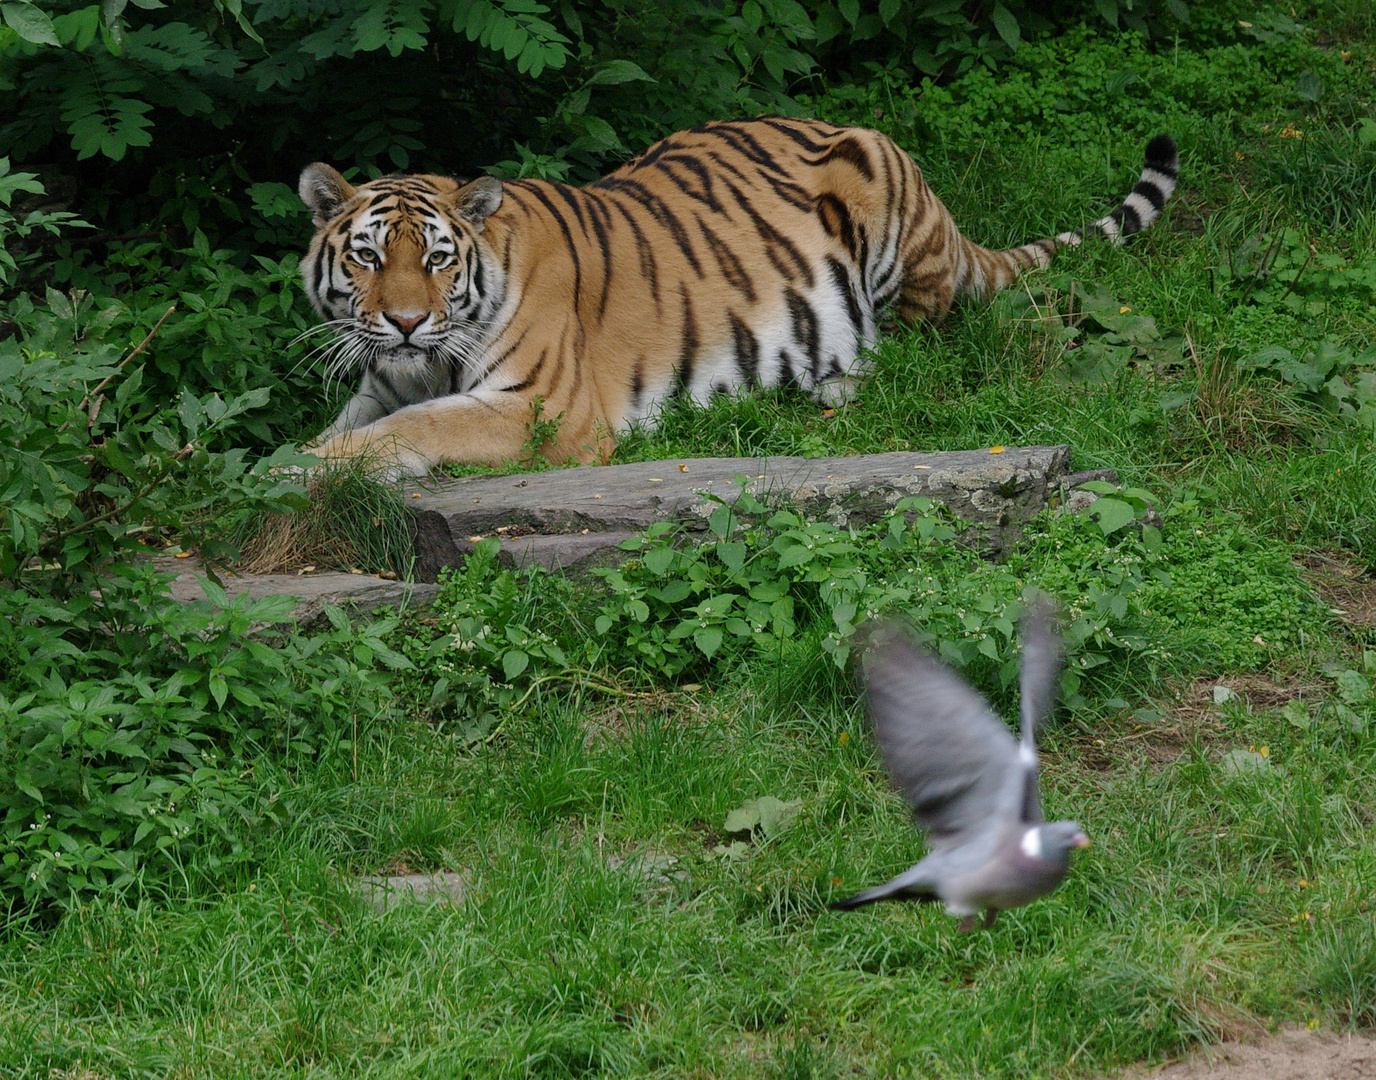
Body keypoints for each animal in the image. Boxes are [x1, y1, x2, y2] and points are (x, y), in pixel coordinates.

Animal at [295, 113, 1177, 476]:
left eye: (439, 259)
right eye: (368, 257)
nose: (407, 322)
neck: (426, 363)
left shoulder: (543, 409)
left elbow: (415, 428)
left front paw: (308, 472)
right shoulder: (383, 383)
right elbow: (359, 421)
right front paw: (281, 465)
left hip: (882, 195)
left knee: (928, 348)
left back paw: (837, 384)